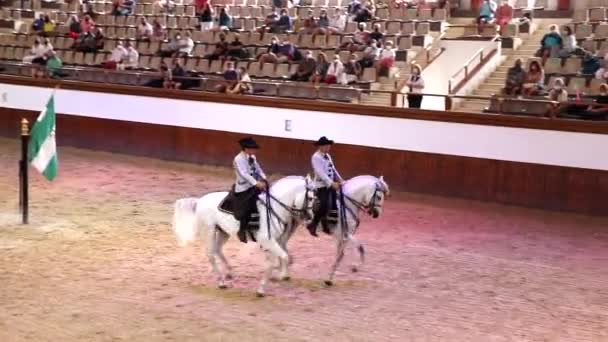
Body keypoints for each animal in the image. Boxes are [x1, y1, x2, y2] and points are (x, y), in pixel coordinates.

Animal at [171, 176, 314, 296]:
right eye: (311, 198)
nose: (310, 217)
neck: (273, 208)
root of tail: (199, 200)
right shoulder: (269, 241)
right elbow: (283, 258)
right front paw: (276, 278)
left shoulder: (273, 242)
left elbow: (274, 262)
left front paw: (265, 286)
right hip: (209, 231)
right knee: (211, 254)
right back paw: (221, 282)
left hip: (223, 231)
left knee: (217, 249)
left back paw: (230, 273)